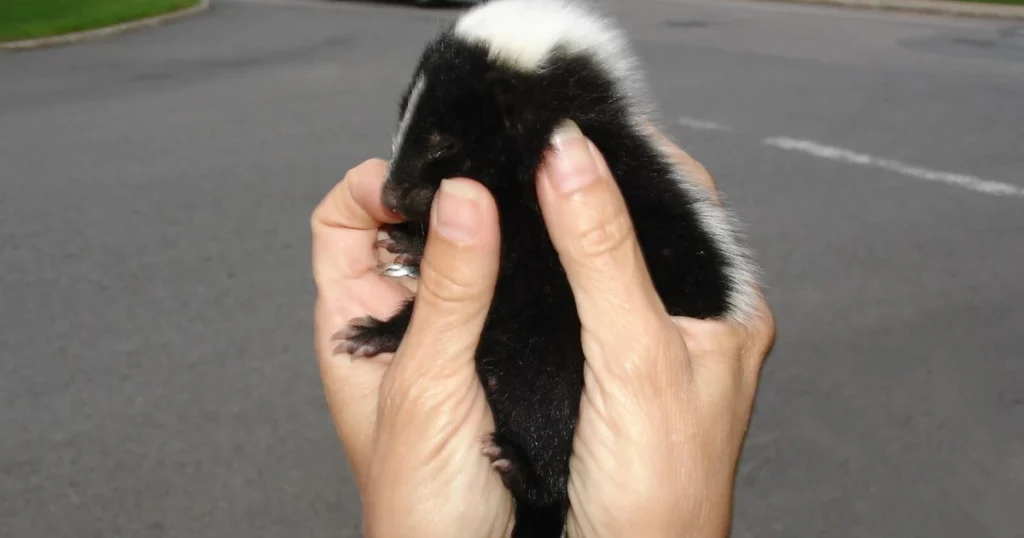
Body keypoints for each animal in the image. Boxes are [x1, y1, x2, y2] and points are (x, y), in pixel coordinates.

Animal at [337, 1, 761, 532]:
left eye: (442, 142)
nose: (390, 198)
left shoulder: (540, 249)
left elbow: (504, 296)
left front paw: (375, 332)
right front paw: (408, 244)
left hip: (560, 354)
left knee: (548, 399)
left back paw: (524, 470)